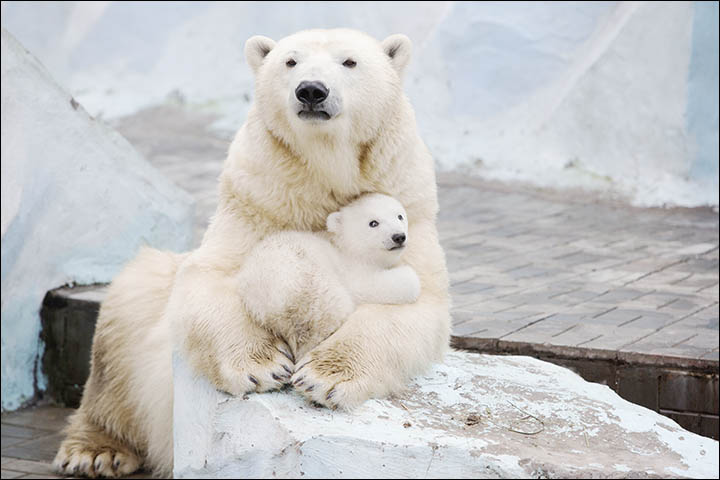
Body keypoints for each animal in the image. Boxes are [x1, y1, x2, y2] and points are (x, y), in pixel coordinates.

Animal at [240, 193, 422, 362]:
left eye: (399, 216)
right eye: (373, 223)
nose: (398, 236)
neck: (343, 245)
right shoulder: (350, 268)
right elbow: (369, 286)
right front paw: (408, 275)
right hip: (315, 287)